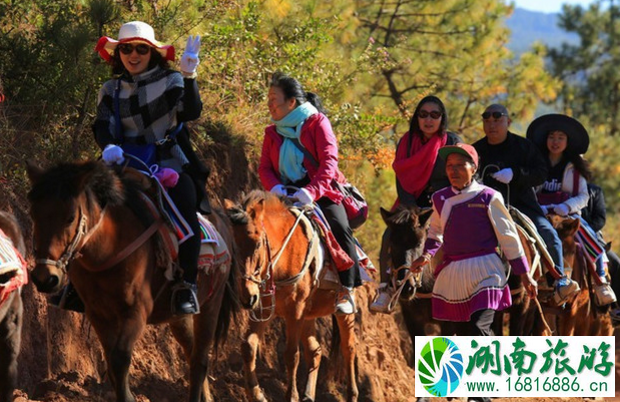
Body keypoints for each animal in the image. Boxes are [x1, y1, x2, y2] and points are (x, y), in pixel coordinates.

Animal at [26, 162, 237, 402]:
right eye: (34, 214)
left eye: (70, 217)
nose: (45, 278)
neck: (108, 249)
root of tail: (221, 221)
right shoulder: (98, 313)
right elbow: (110, 362)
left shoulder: (136, 311)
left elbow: (119, 360)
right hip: (178, 316)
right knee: (191, 351)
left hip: (211, 305)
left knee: (200, 360)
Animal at [226, 191, 358, 402]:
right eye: (234, 247)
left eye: (257, 244)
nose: (247, 297)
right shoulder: (265, 308)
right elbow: (248, 346)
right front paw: (256, 394)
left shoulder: (295, 310)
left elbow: (291, 355)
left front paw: (291, 396)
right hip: (308, 315)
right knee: (315, 351)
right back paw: (308, 395)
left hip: (344, 313)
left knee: (349, 348)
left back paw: (351, 394)